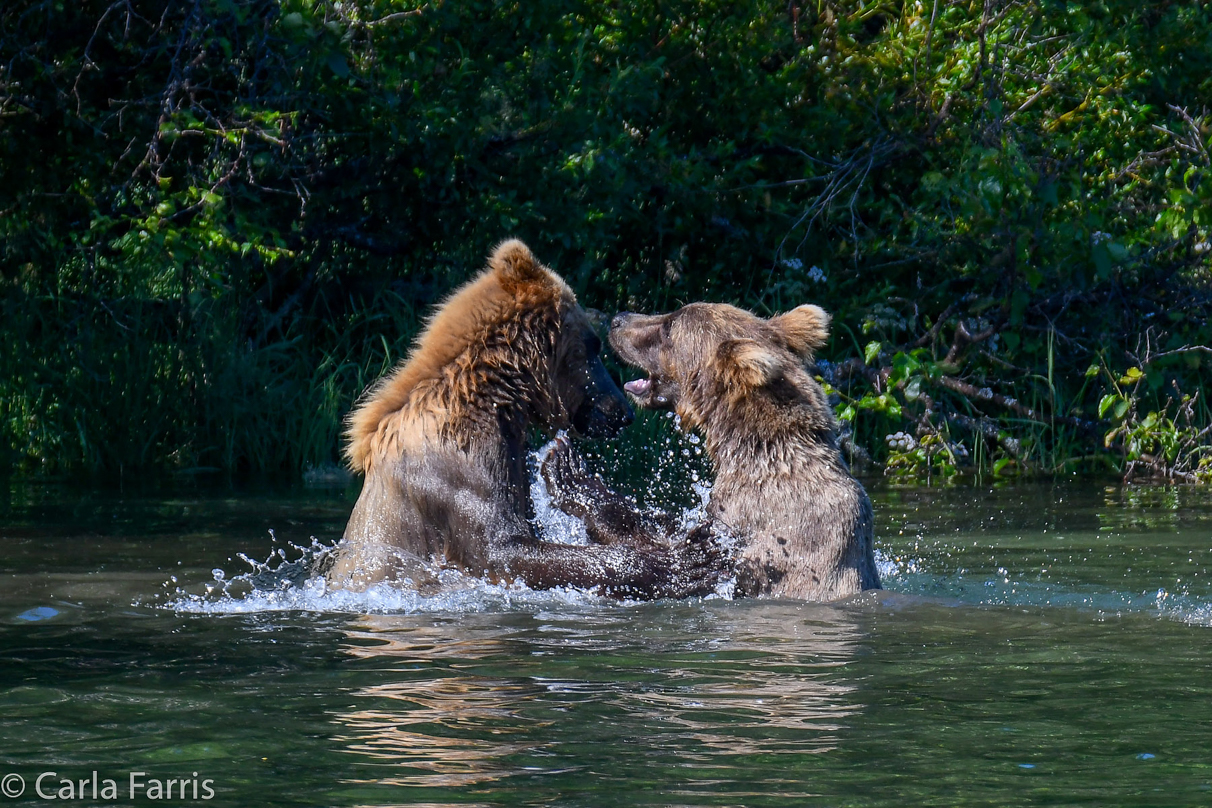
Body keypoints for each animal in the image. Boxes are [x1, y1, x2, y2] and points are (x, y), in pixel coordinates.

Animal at [324, 237, 717, 598]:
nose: (622, 412)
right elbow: (502, 549)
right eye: (592, 347)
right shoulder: (461, 465)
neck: (498, 394)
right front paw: (685, 564)